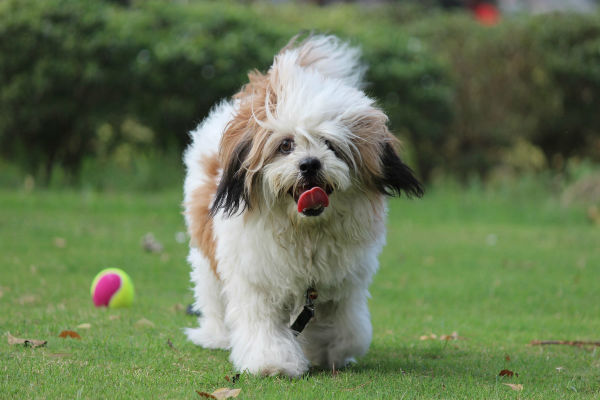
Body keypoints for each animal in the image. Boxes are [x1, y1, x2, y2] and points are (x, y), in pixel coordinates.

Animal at [183, 35, 422, 378]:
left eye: (331, 145)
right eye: (286, 145)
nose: (309, 164)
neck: (305, 231)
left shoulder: (340, 285)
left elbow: (348, 330)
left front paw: (327, 350)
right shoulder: (256, 279)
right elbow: (263, 325)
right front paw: (273, 362)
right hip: (207, 256)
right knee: (212, 295)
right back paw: (215, 335)